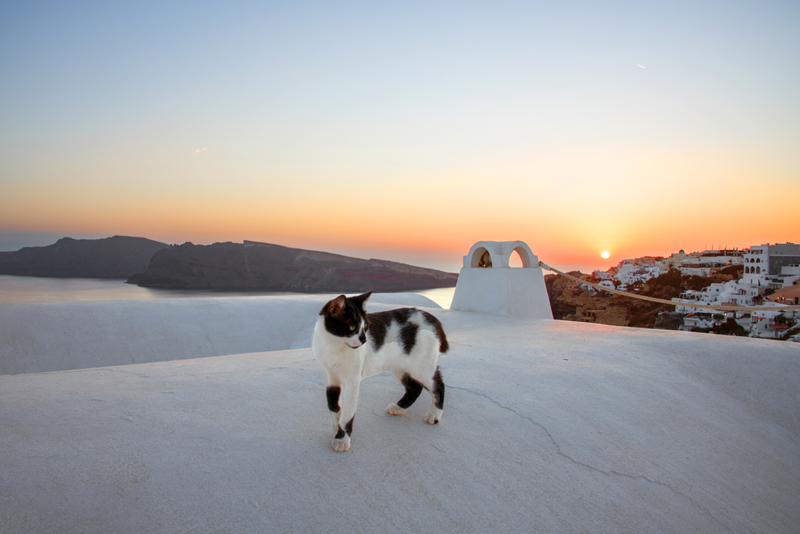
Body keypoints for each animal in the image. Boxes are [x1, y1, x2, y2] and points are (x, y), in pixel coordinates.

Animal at [310, 294, 446, 452]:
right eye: (352, 327)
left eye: (365, 327)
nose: (364, 339)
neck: (334, 346)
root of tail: (432, 318)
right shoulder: (331, 376)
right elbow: (331, 404)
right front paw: (337, 422)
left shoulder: (352, 383)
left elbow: (348, 414)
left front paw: (342, 439)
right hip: (399, 367)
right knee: (415, 387)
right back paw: (399, 408)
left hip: (422, 367)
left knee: (438, 385)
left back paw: (434, 415)